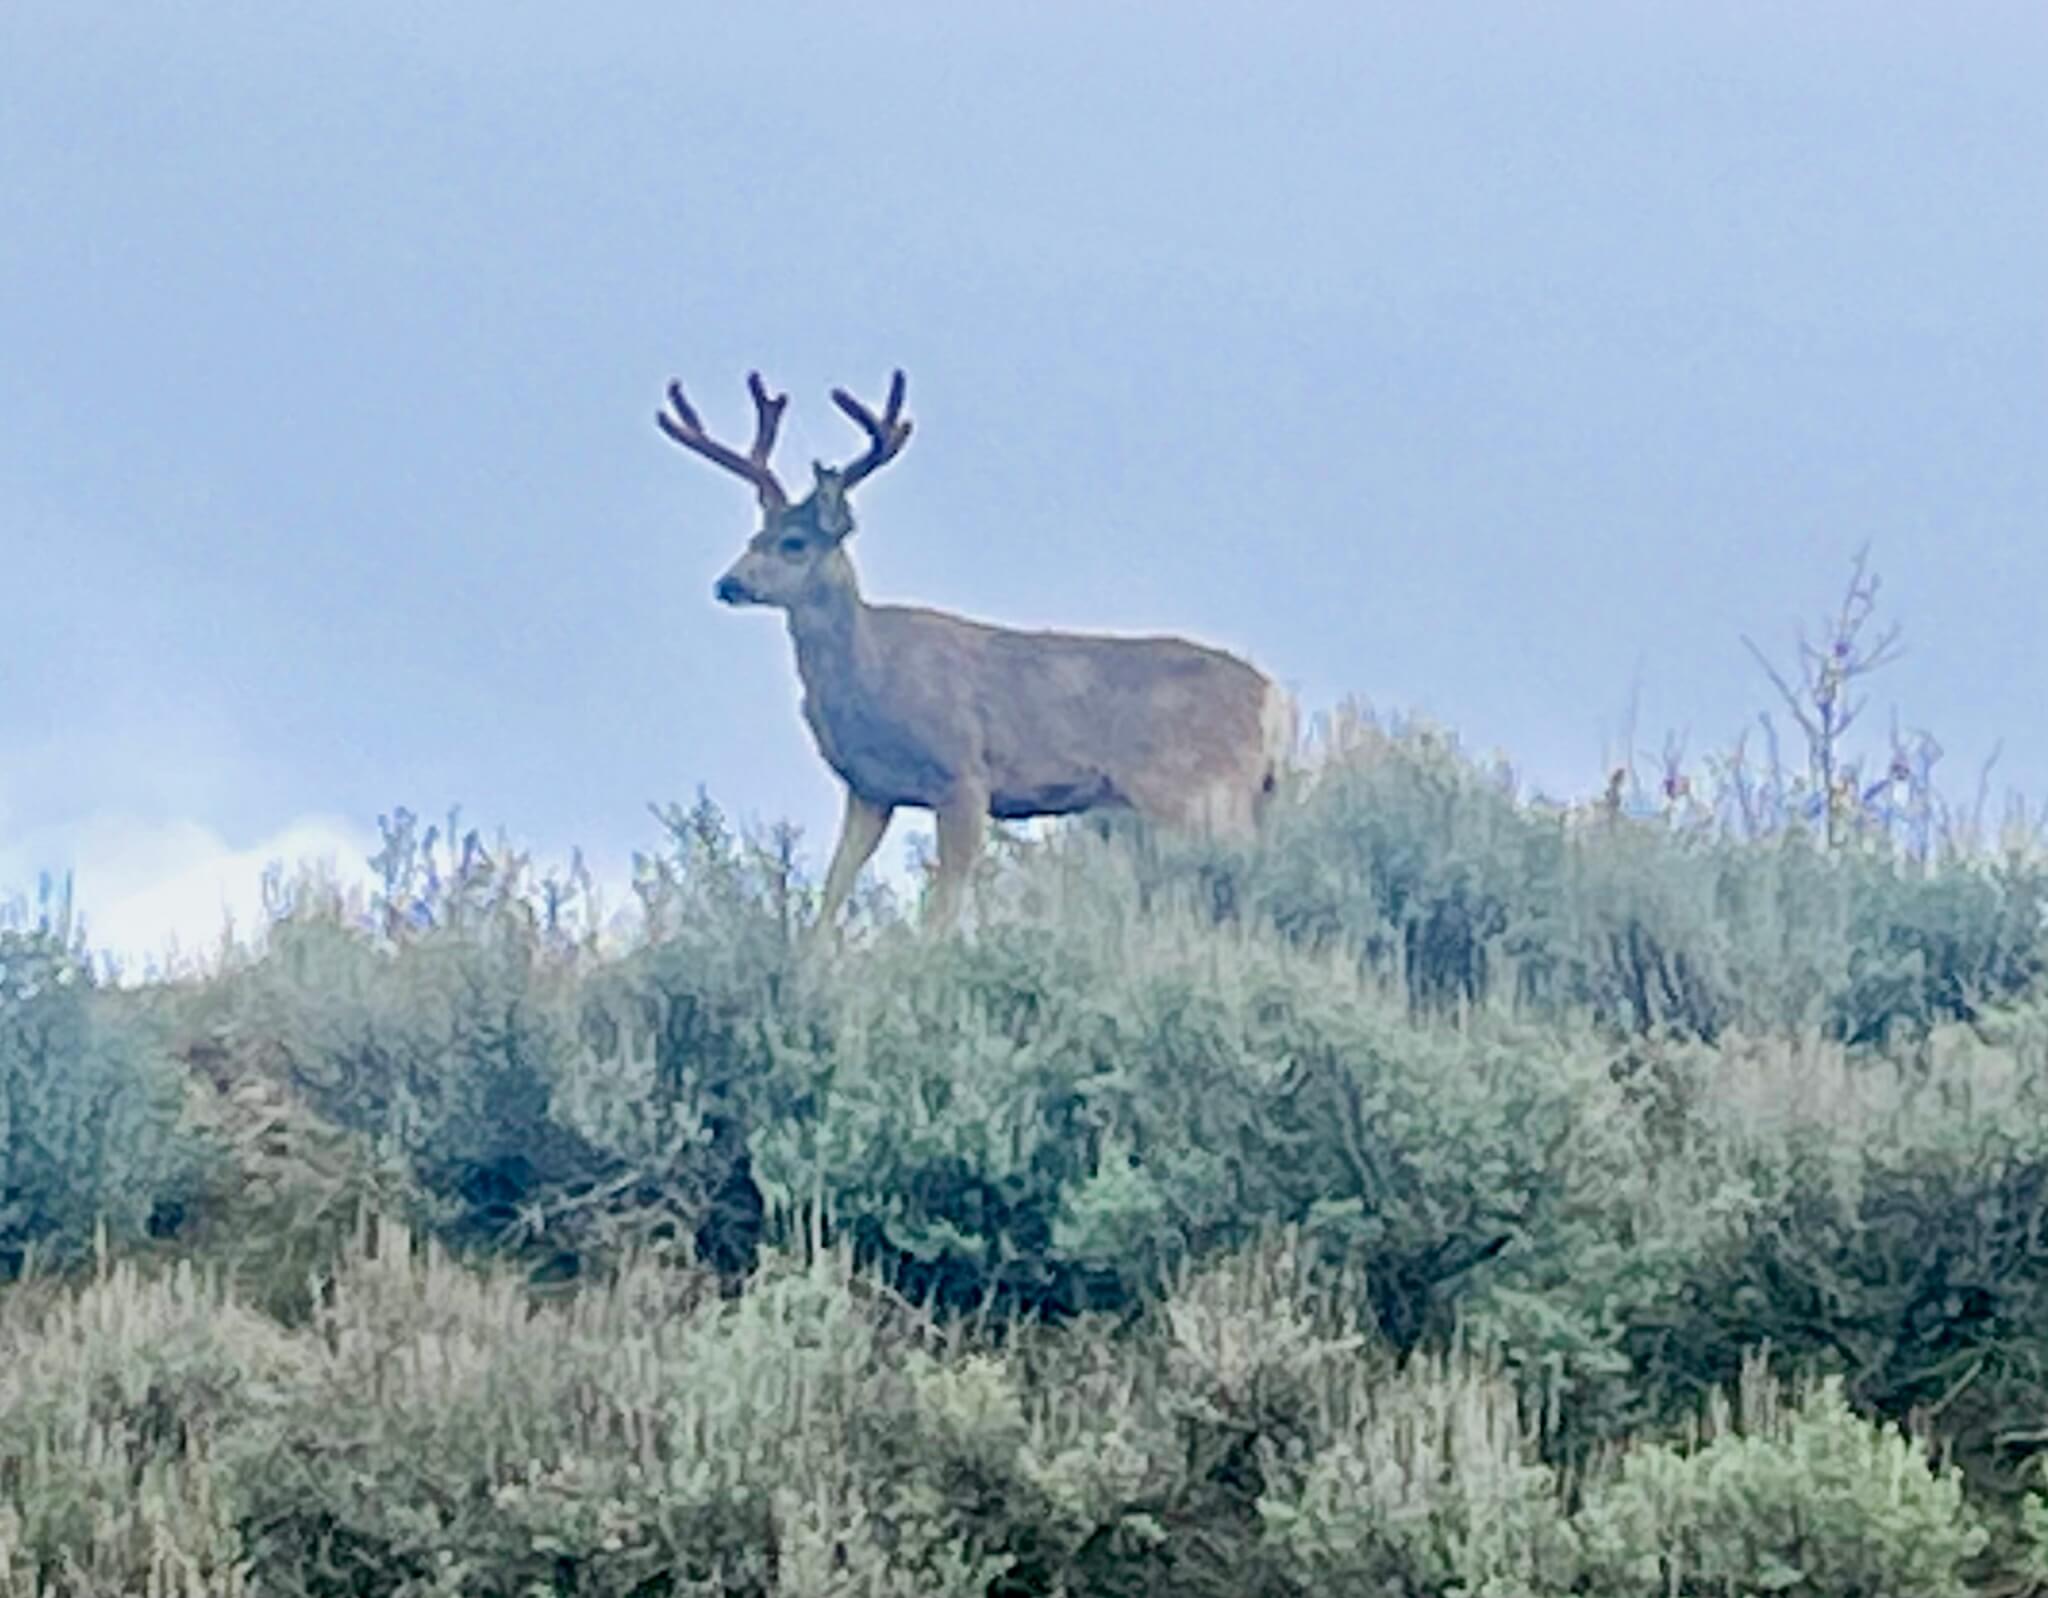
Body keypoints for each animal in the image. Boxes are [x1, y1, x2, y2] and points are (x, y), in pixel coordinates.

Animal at [655, 368, 1292, 934]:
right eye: (753, 537)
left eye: (793, 543)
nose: (728, 584)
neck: (872, 672)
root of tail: (1275, 699)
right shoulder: (869, 787)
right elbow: (833, 893)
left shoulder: (963, 772)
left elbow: (944, 905)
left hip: (1202, 789)